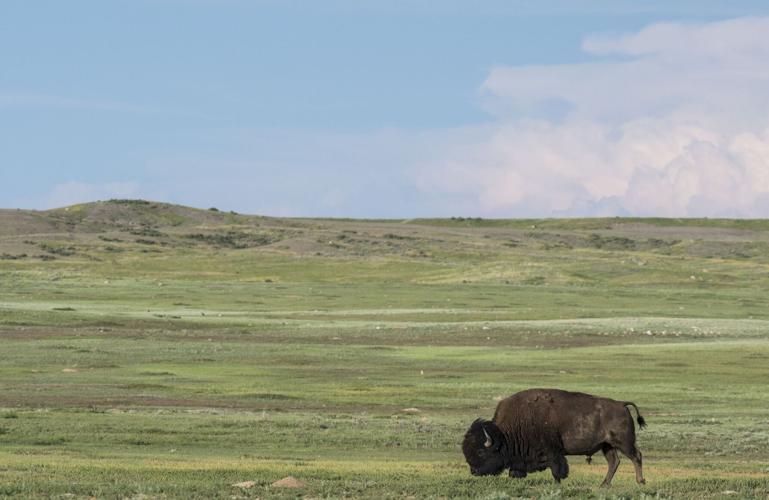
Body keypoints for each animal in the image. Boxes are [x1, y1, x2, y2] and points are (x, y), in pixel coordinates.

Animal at [462, 388, 646, 486]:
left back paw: (640, 482)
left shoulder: (553, 452)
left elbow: (557, 469)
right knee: (614, 462)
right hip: (606, 446)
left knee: (636, 456)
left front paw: (558, 482)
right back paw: (603, 485)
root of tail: (621, 404)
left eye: (480, 452)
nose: (473, 471)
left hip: (623, 442)